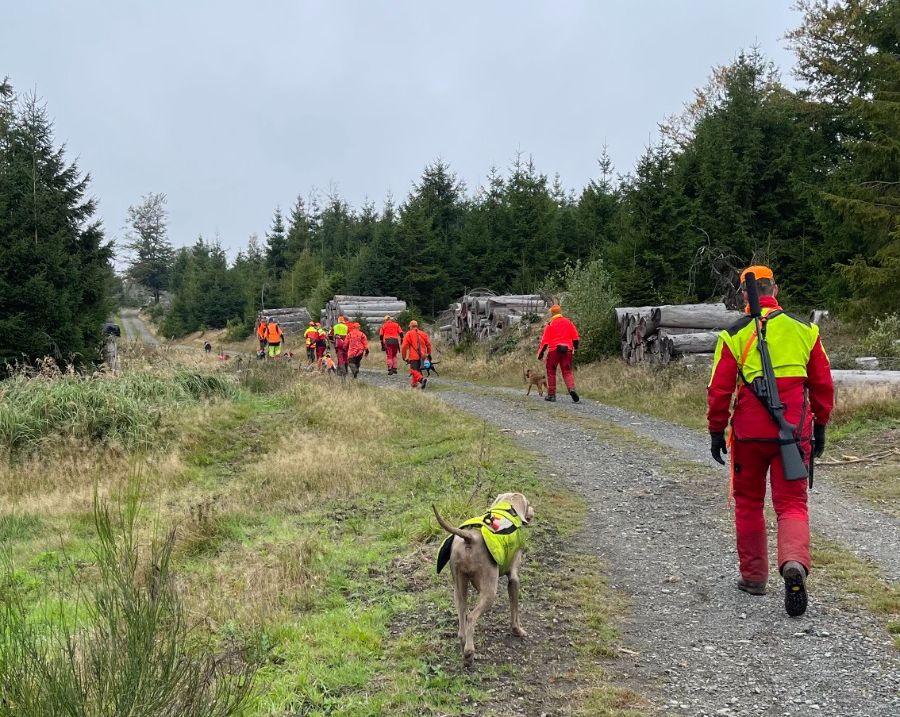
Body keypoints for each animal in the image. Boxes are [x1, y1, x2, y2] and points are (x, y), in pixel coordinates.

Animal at [430, 492, 532, 664]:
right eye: (528, 503)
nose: (533, 511)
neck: (506, 509)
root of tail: (469, 537)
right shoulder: (514, 578)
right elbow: (514, 608)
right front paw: (518, 630)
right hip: (490, 591)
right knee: (471, 617)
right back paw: (469, 651)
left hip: (458, 584)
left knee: (463, 616)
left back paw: (465, 646)